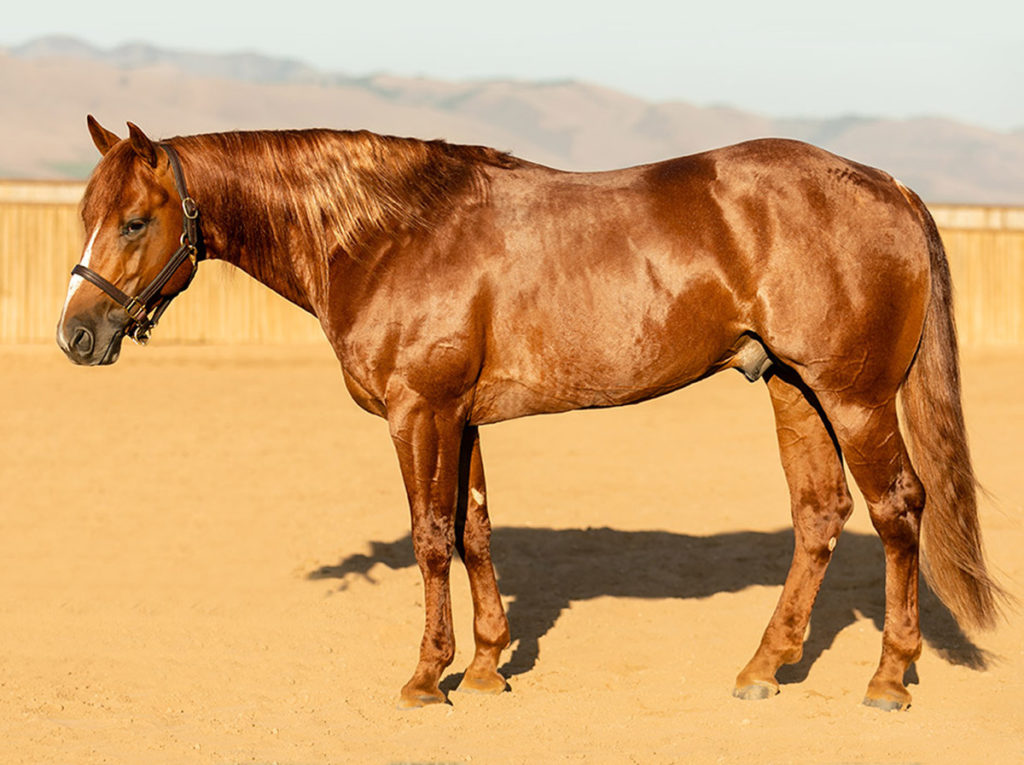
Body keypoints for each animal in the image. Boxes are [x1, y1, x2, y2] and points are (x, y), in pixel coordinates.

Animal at [57, 116, 1003, 710]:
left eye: (135, 220)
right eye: (87, 214)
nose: (75, 332)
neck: (389, 235)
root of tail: (889, 185)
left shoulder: (419, 413)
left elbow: (430, 538)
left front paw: (426, 677)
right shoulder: (462, 417)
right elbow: (474, 531)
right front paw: (485, 668)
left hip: (853, 396)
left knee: (897, 511)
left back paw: (888, 678)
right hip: (791, 388)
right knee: (820, 515)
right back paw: (765, 666)